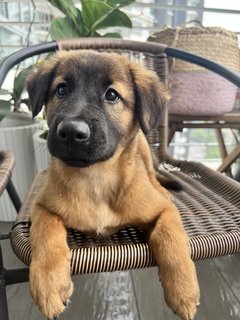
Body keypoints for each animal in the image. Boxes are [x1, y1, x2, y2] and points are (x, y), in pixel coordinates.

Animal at [26, 51, 199, 318]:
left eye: (112, 95)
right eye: (61, 89)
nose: (71, 132)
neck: (96, 179)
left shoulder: (164, 210)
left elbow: (171, 237)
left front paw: (184, 290)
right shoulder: (41, 206)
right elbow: (45, 231)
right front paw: (49, 283)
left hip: (145, 149)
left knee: (153, 176)